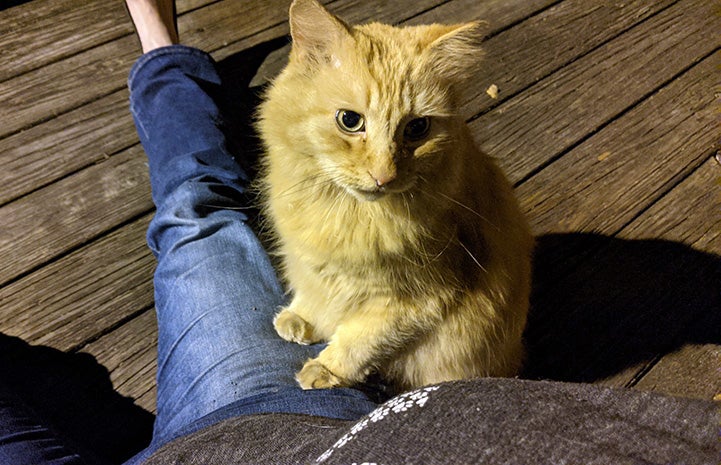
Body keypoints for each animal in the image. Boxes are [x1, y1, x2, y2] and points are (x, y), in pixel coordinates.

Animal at [256, 0, 532, 392]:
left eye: (417, 128)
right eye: (349, 120)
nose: (384, 176)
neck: (349, 213)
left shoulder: (415, 303)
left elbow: (358, 342)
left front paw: (324, 370)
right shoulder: (313, 268)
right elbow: (313, 296)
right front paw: (302, 318)